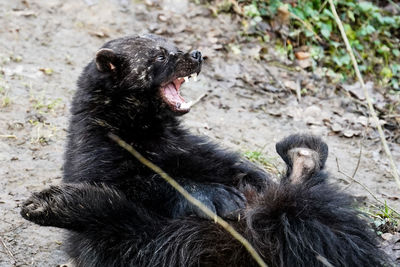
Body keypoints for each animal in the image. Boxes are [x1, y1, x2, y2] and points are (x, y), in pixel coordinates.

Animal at [21, 35, 388, 267]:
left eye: (172, 45)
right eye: (159, 56)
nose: (196, 54)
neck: (143, 129)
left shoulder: (185, 146)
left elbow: (224, 162)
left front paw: (252, 178)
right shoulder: (100, 151)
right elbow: (141, 182)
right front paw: (217, 196)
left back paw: (300, 157)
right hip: (148, 243)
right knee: (119, 220)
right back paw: (48, 204)